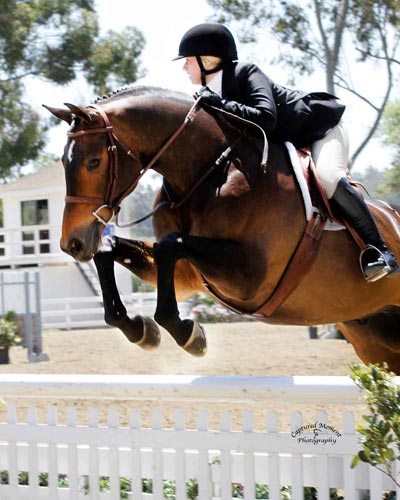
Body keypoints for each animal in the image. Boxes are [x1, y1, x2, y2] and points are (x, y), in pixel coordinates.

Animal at [43, 87, 400, 372]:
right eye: (63, 162)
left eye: (93, 162)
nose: (72, 243)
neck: (208, 172)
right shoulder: (187, 275)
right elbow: (110, 251)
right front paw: (139, 329)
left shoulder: (250, 279)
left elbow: (169, 245)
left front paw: (188, 335)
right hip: (372, 338)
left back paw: (379, 260)